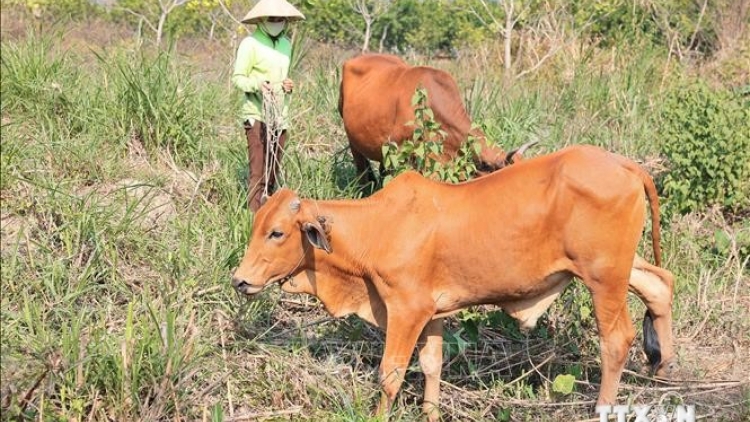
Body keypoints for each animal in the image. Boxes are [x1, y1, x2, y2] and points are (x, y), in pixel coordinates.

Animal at [232, 144, 680, 418]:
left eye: (276, 232)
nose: (239, 280)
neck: (378, 228)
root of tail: (626, 165)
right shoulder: (432, 313)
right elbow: (431, 365)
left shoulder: (406, 309)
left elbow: (390, 373)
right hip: (617, 268)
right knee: (660, 283)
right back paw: (662, 365)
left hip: (603, 277)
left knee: (616, 339)